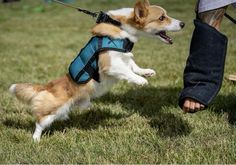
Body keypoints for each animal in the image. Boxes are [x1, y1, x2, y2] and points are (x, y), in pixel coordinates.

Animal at [8, 0, 184, 142]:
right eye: (162, 17)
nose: (183, 24)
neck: (120, 26)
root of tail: (47, 86)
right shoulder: (110, 64)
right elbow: (127, 72)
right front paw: (141, 81)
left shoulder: (125, 57)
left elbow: (133, 66)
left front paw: (146, 72)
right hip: (52, 112)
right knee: (39, 122)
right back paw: (36, 140)